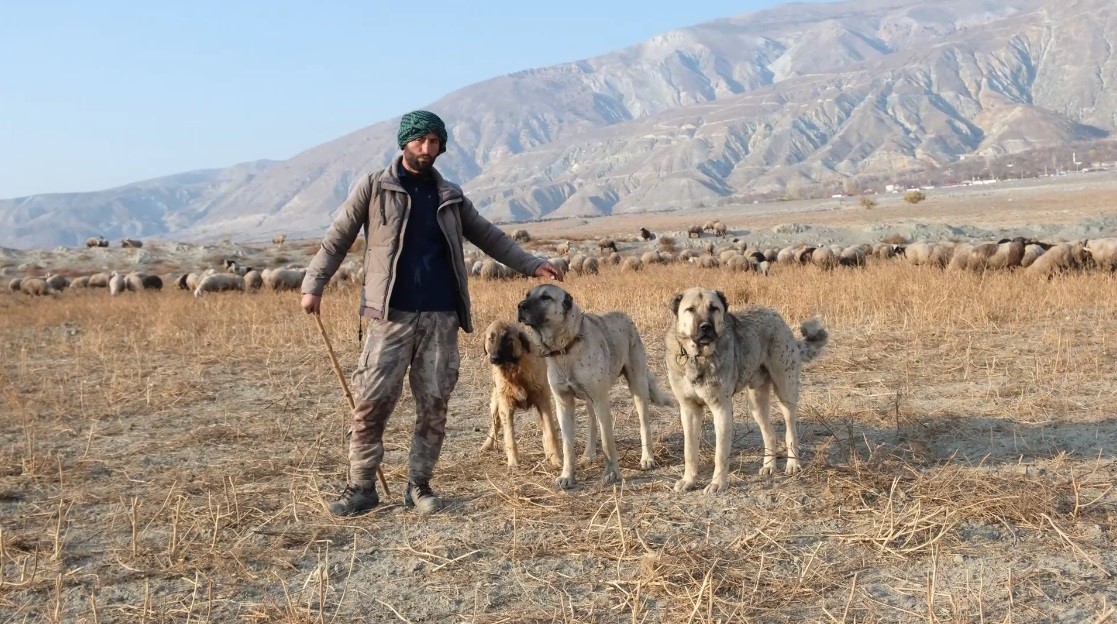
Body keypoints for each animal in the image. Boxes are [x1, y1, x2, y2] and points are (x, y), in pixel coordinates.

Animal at [482, 321, 567, 468]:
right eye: (491, 339)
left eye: (507, 339)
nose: (494, 358)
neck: (514, 372)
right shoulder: (506, 407)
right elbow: (509, 437)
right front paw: (513, 462)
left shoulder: (543, 402)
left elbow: (550, 432)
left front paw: (556, 459)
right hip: (496, 405)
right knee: (495, 424)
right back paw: (487, 444)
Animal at [516, 285, 670, 491]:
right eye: (527, 295)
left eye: (546, 297)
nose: (520, 306)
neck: (566, 347)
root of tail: (623, 315)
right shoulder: (563, 403)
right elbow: (567, 445)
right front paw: (567, 475)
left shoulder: (601, 400)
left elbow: (607, 441)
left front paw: (612, 473)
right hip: (590, 399)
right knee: (591, 422)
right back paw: (589, 454)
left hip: (637, 386)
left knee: (643, 423)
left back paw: (647, 458)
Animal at [661, 288, 831, 493]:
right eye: (691, 309)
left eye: (714, 308)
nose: (705, 327)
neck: (698, 357)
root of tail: (776, 316)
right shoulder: (689, 409)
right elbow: (690, 451)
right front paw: (689, 480)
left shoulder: (721, 409)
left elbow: (720, 453)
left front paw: (717, 483)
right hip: (756, 405)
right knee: (770, 435)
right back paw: (769, 466)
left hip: (786, 394)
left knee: (791, 432)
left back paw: (792, 464)